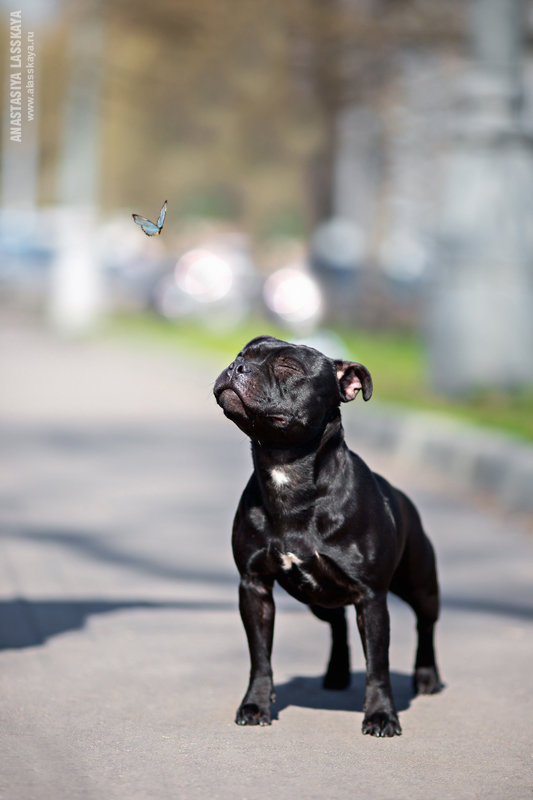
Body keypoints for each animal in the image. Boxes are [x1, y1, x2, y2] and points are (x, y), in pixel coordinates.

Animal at [212, 334, 440, 736]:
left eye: (288, 367)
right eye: (242, 355)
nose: (237, 367)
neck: (287, 472)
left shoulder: (372, 597)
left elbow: (378, 664)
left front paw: (381, 715)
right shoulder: (254, 587)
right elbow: (260, 656)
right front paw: (256, 703)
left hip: (421, 584)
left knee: (425, 624)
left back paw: (427, 677)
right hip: (317, 597)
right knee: (337, 624)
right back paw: (336, 674)